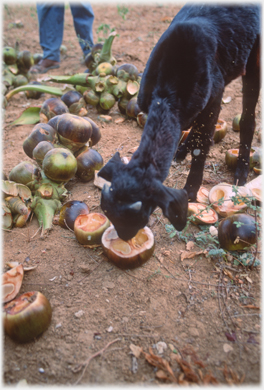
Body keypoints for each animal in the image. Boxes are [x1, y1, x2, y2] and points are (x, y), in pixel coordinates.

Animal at [98, 3, 260, 241]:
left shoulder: (215, 96)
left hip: (254, 60)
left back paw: (241, 171)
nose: (124, 237)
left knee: (248, 118)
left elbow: (203, 144)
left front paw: (191, 189)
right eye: (107, 211)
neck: (167, 95)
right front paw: (182, 150)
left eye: (141, 214)